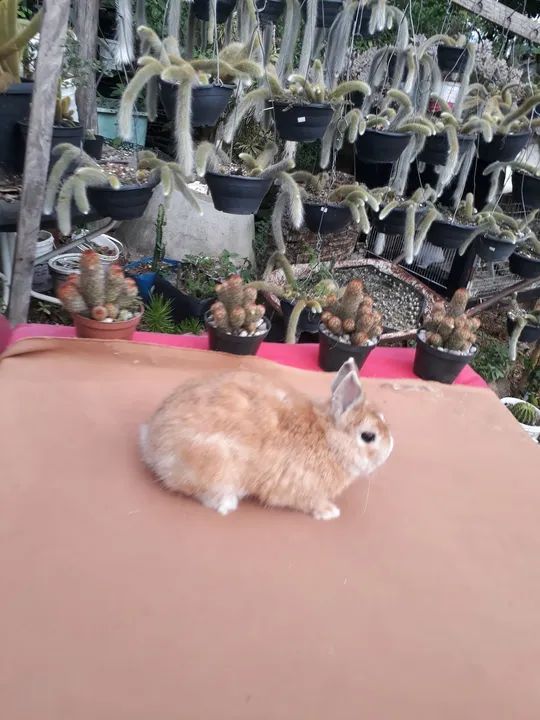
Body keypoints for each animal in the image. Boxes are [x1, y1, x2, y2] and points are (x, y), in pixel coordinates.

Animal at [139, 358, 393, 520]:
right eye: (368, 436)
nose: (390, 450)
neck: (329, 440)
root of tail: (151, 442)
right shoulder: (303, 490)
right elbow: (311, 503)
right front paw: (329, 512)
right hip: (215, 464)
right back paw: (227, 502)